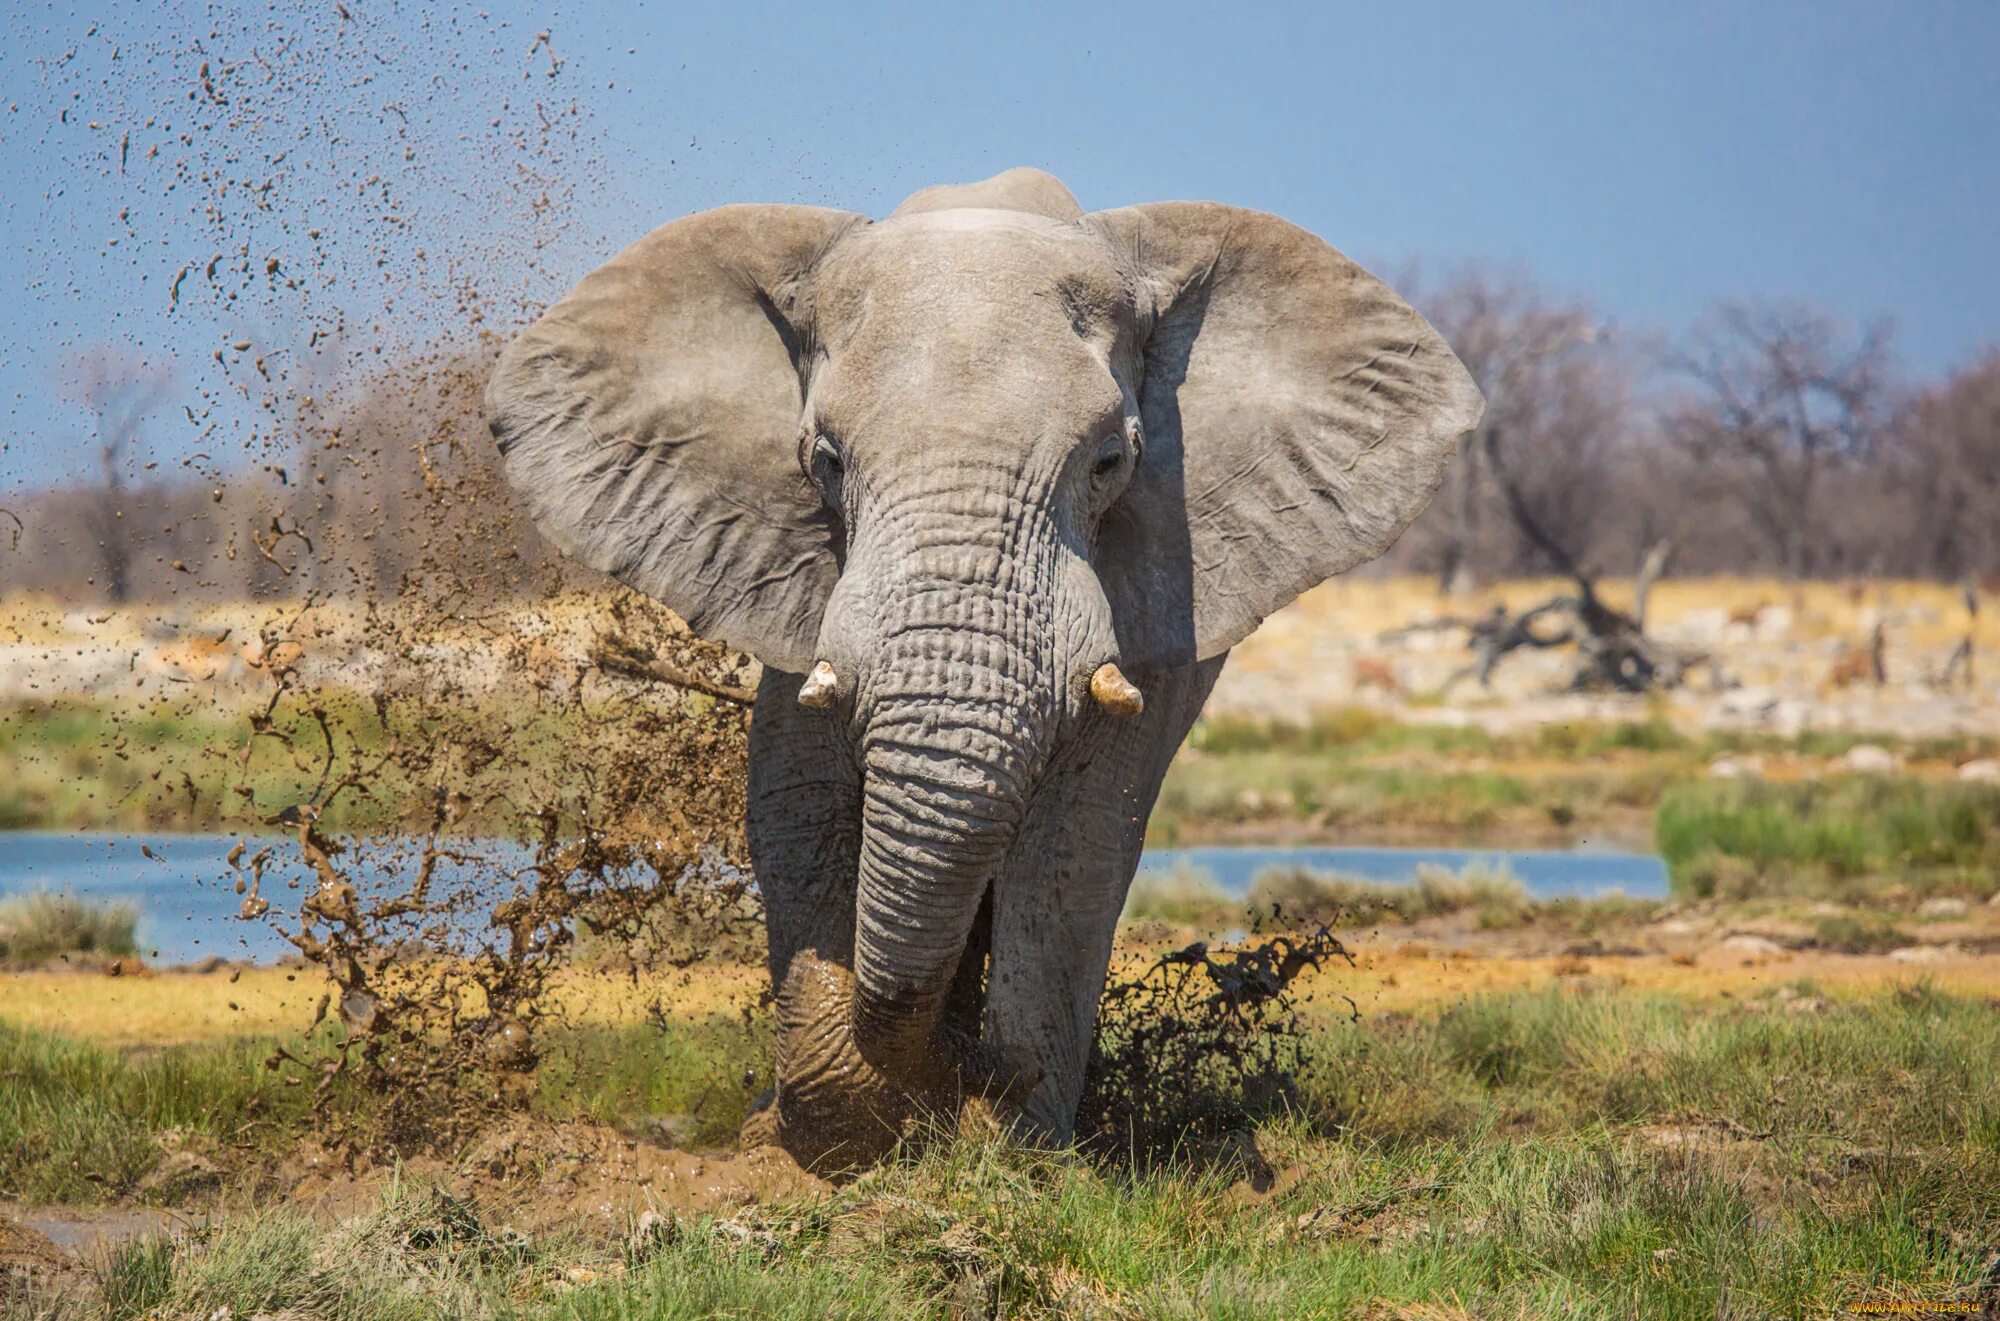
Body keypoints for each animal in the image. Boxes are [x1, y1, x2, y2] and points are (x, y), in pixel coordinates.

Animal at [484, 165, 1488, 1168]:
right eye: (825, 461)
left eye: (1112, 461)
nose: (980, 1063)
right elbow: (795, 803)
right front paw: (837, 1129)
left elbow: (1080, 839)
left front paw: (1008, 1139)